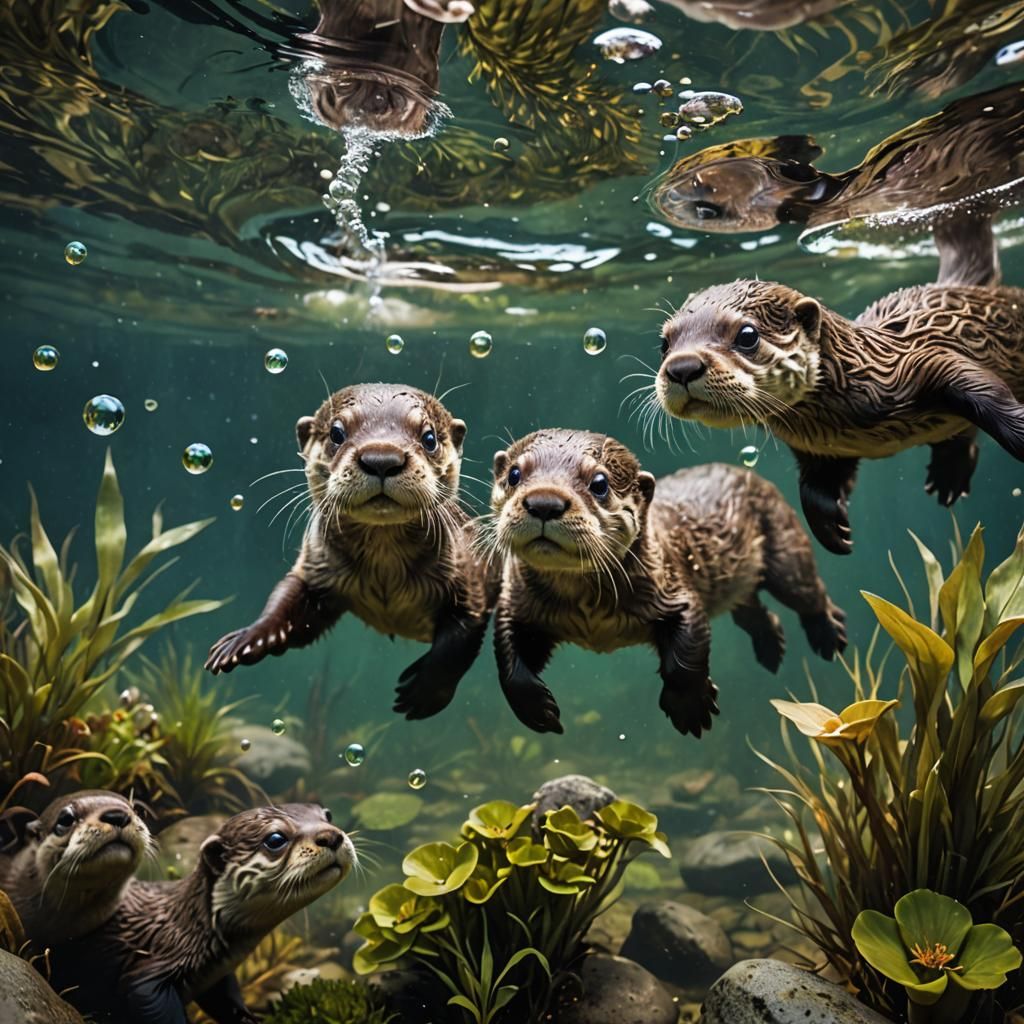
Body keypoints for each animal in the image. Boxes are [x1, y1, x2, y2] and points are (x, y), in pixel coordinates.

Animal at [49, 804, 353, 1024]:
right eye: (276, 839)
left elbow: (226, 1002)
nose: (332, 835)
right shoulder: (147, 975)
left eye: (328, 815)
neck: (189, 929)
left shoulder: (215, 975)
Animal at [206, 383, 493, 721]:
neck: (385, 573)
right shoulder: (316, 568)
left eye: (429, 437)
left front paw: (424, 692)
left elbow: (458, 643)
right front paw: (247, 639)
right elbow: (286, 601)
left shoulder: (467, 579)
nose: (381, 458)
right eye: (336, 433)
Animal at [486, 430, 846, 737]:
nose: (544, 502)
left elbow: (686, 653)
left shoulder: (675, 590)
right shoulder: (517, 603)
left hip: (785, 548)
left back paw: (829, 635)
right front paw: (537, 710)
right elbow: (507, 657)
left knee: (809, 594)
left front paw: (690, 706)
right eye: (514, 474)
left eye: (599, 483)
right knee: (752, 610)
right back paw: (771, 645)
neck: (589, 612)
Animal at [656, 278, 1024, 554]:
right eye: (665, 344)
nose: (682, 367)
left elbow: (979, 383)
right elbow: (815, 486)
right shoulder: (821, 449)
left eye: (747, 335)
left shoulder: (918, 360)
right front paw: (833, 528)